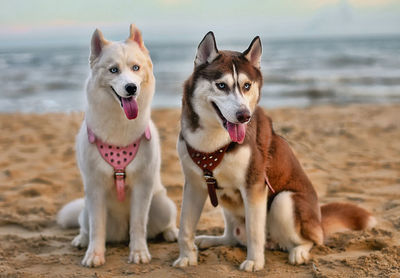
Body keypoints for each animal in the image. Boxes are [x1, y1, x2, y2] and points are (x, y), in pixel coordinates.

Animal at [57, 25, 178, 268]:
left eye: (135, 68)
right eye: (113, 70)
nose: (131, 88)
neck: (120, 129)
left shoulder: (143, 186)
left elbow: (139, 225)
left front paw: (139, 252)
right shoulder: (94, 189)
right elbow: (97, 228)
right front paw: (94, 254)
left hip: (161, 204)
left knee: (161, 223)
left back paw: (171, 233)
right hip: (85, 209)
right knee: (87, 226)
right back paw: (81, 239)